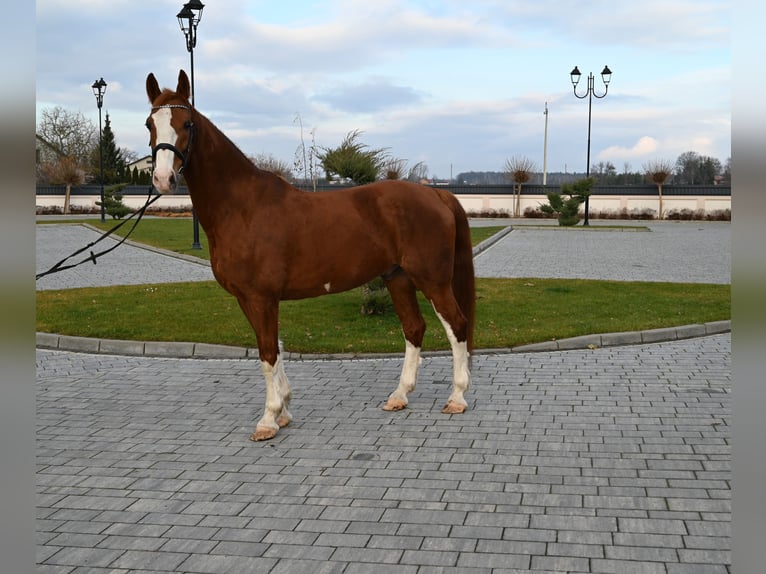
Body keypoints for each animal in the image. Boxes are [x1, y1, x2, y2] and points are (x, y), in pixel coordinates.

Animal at [147, 71, 476, 440]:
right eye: (149, 124)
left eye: (187, 123)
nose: (163, 179)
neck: (242, 207)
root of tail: (436, 193)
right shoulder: (249, 299)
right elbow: (274, 348)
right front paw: (284, 412)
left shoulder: (261, 297)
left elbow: (267, 352)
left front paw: (269, 419)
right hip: (398, 277)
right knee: (414, 328)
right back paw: (399, 396)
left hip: (432, 280)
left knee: (457, 325)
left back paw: (457, 398)